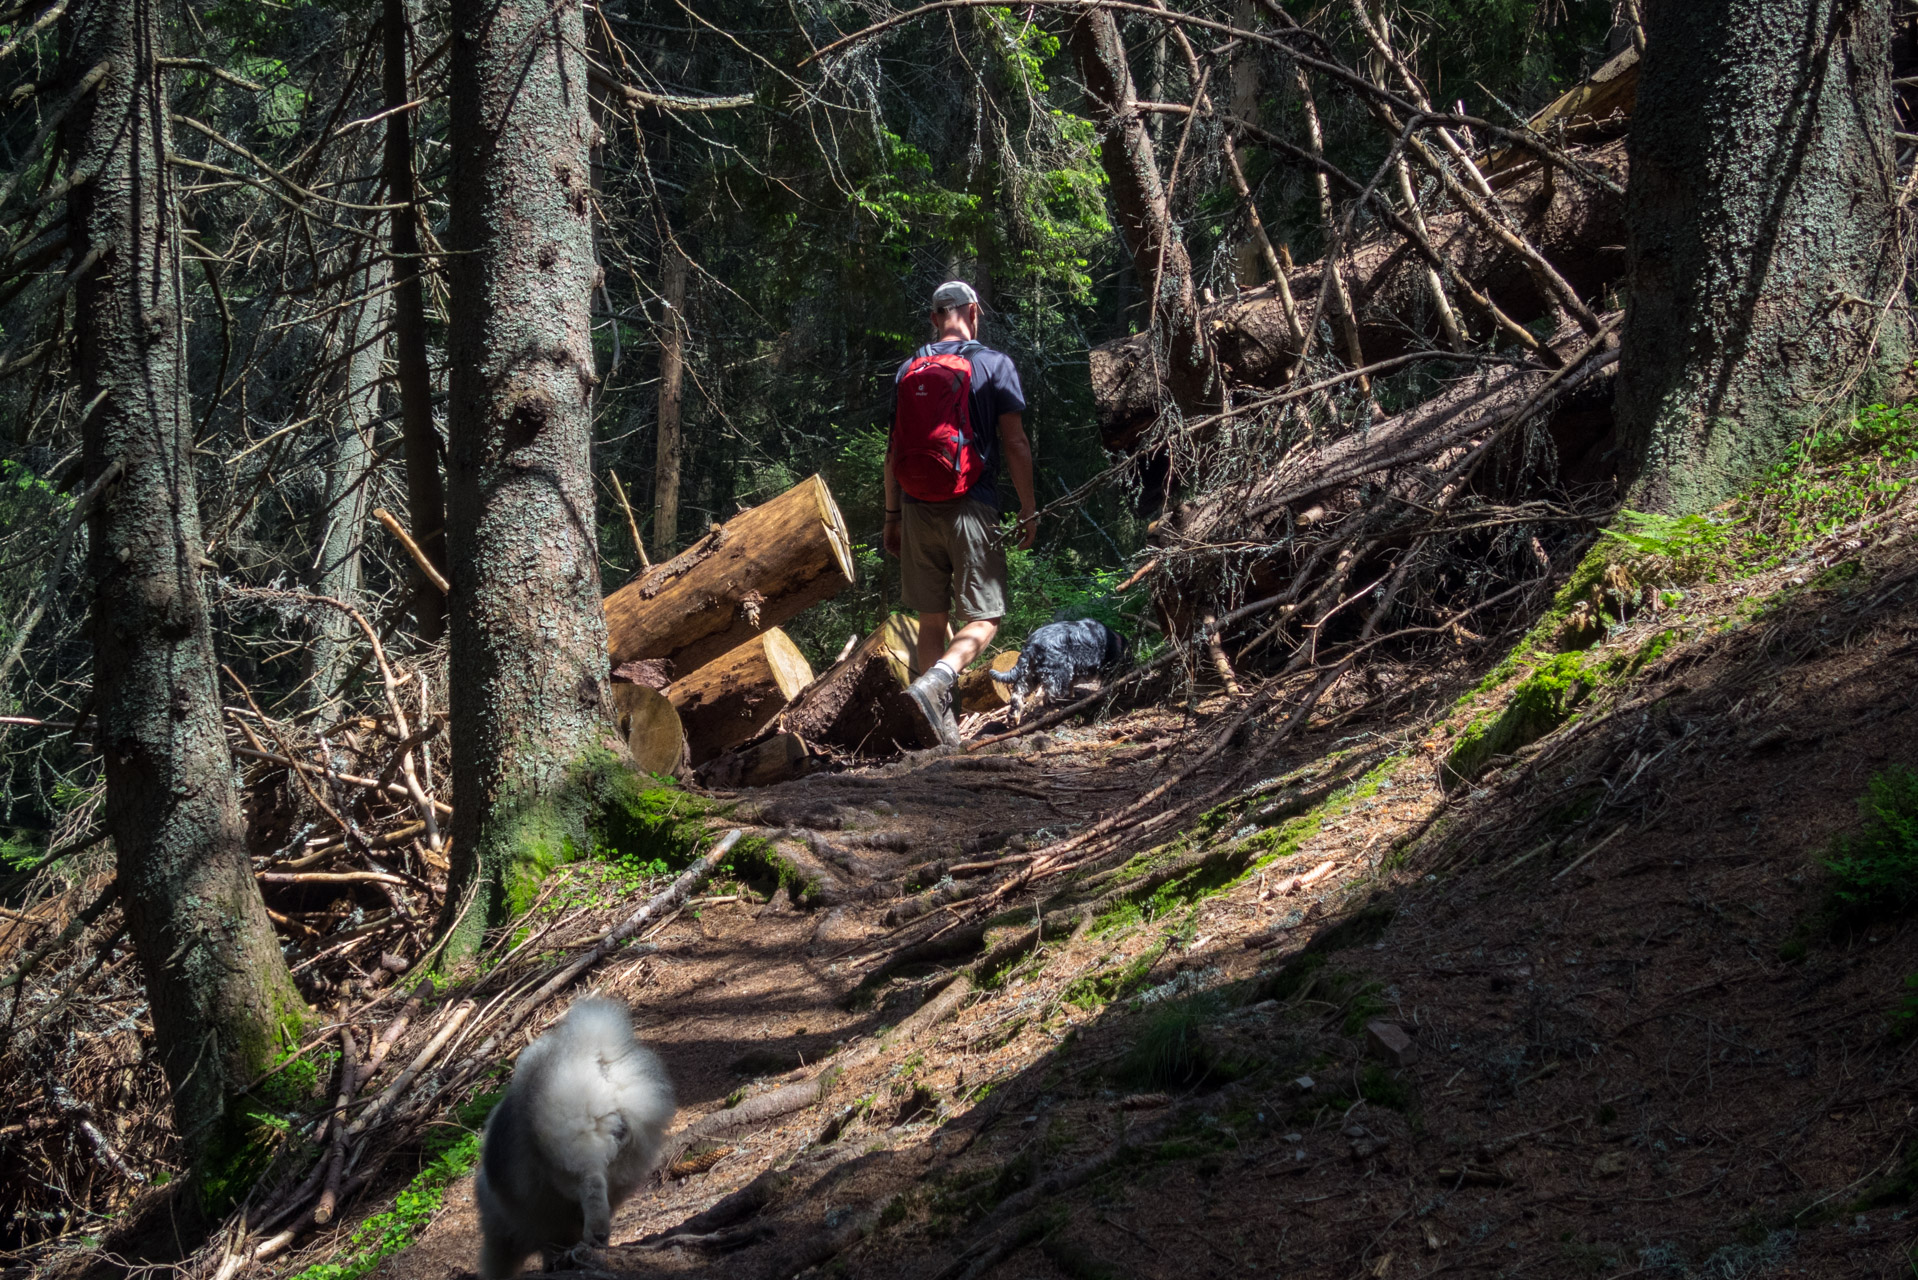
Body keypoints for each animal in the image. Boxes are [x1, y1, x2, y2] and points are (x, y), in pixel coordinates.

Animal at [473, 997, 678, 1280]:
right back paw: (599, 1241)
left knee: (591, 1185)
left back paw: (595, 1235)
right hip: (625, 1156)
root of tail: (594, 1060)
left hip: (570, 1155)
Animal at [997, 617, 1127, 721]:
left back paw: (1014, 717)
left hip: (1029, 674)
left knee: (1017, 695)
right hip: (1059, 674)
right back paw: (1056, 709)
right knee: (1049, 696)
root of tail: (1032, 644)